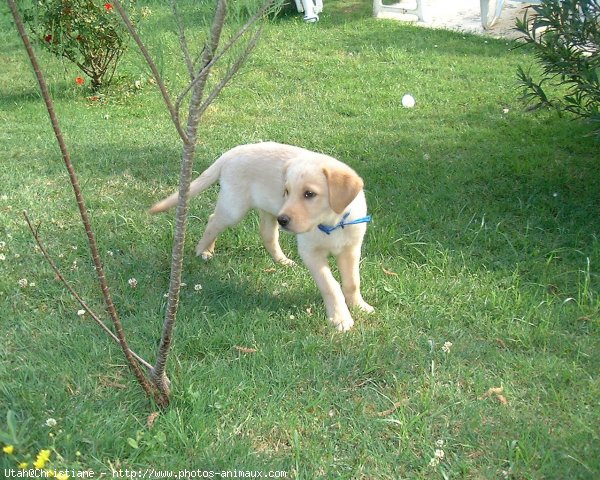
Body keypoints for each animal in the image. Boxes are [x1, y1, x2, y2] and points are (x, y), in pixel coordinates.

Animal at [150, 141, 372, 332]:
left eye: (309, 194)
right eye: (287, 191)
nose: (284, 220)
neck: (333, 224)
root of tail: (234, 151)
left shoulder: (351, 249)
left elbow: (352, 281)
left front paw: (359, 306)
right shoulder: (311, 253)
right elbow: (330, 285)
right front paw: (340, 318)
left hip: (268, 210)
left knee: (267, 235)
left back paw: (282, 261)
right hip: (235, 208)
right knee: (213, 221)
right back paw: (203, 250)